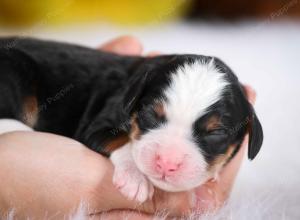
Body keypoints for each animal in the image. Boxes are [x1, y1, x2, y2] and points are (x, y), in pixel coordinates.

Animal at [0, 37, 262, 203]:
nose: (167, 163)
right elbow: (124, 140)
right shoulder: (98, 124)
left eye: (215, 133)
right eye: (150, 114)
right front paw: (134, 178)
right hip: (16, 69)